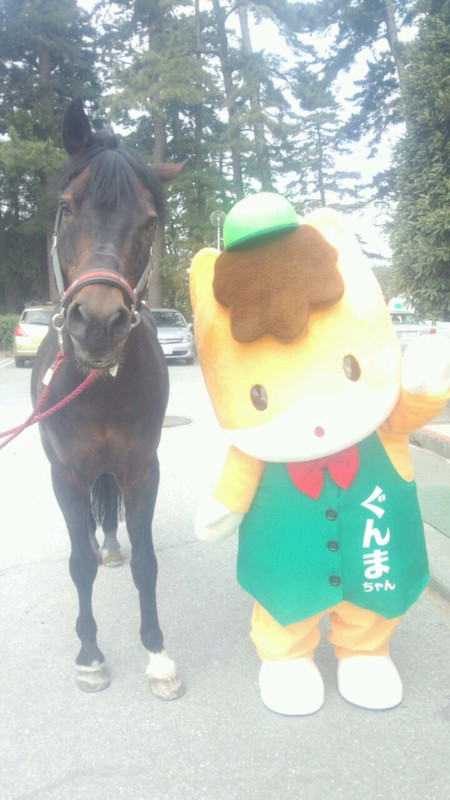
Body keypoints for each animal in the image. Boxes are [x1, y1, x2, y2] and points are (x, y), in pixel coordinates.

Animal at [31, 99, 185, 698]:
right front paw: (90, 656)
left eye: (149, 222)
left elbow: (148, 563)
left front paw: (158, 654)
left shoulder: (142, 469)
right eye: (66, 208)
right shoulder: (66, 474)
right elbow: (79, 563)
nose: (98, 322)